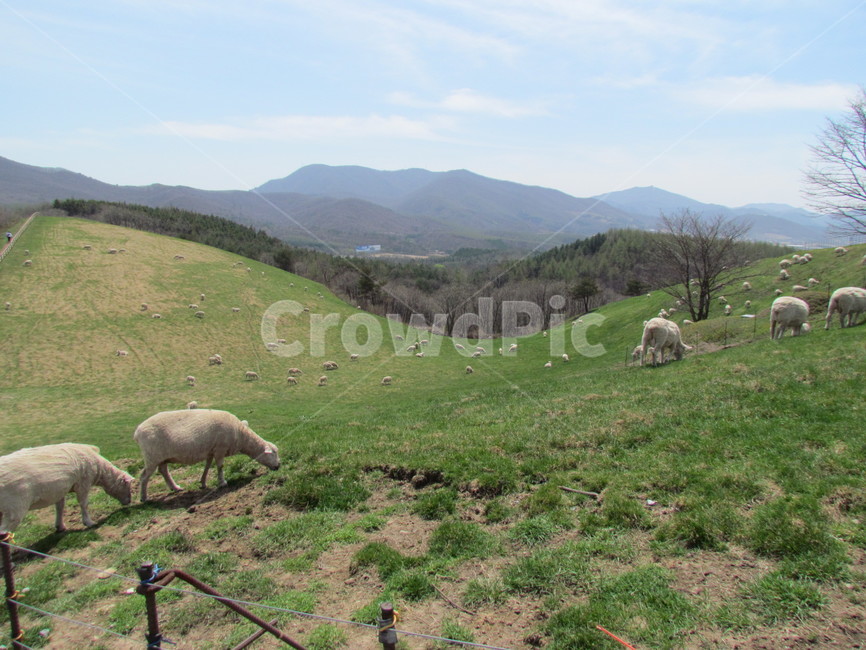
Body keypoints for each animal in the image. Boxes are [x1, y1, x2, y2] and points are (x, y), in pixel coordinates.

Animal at [0, 443, 132, 532]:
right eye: (127, 487)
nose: (129, 502)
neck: (100, 471)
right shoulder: (83, 483)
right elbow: (84, 504)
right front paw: (88, 522)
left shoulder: (60, 490)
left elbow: (60, 507)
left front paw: (60, 526)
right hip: (15, 507)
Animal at [133, 409, 279, 502]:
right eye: (273, 453)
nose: (279, 466)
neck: (241, 435)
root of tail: (137, 432)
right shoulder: (220, 448)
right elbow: (220, 466)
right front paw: (222, 482)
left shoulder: (211, 450)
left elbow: (208, 466)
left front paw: (203, 482)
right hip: (152, 456)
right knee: (144, 476)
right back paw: (144, 497)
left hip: (161, 457)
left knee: (163, 471)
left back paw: (175, 488)